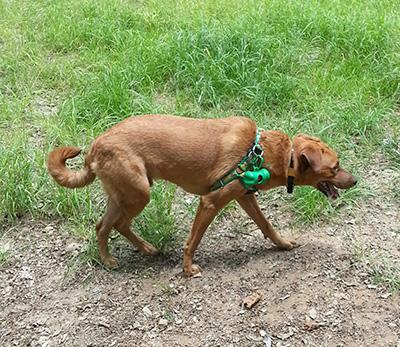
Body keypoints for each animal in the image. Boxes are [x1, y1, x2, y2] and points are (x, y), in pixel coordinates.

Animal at [47, 115, 356, 276]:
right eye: (335, 167)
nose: (355, 180)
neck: (264, 151)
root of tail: (94, 147)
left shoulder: (245, 196)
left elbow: (266, 225)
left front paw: (283, 244)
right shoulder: (210, 201)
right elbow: (192, 241)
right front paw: (187, 268)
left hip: (125, 193)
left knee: (105, 225)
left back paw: (141, 249)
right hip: (138, 194)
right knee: (113, 225)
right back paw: (113, 260)